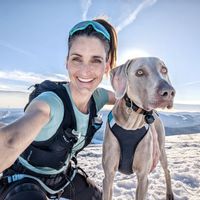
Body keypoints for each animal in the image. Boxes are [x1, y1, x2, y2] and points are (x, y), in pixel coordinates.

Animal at [103, 57, 175, 199]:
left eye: (164, 70)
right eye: (140, 72)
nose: (169, 92)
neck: (131, 124)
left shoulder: (142, 176)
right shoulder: (108, 175)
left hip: (161, 148)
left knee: (167, 170)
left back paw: (169, 194)